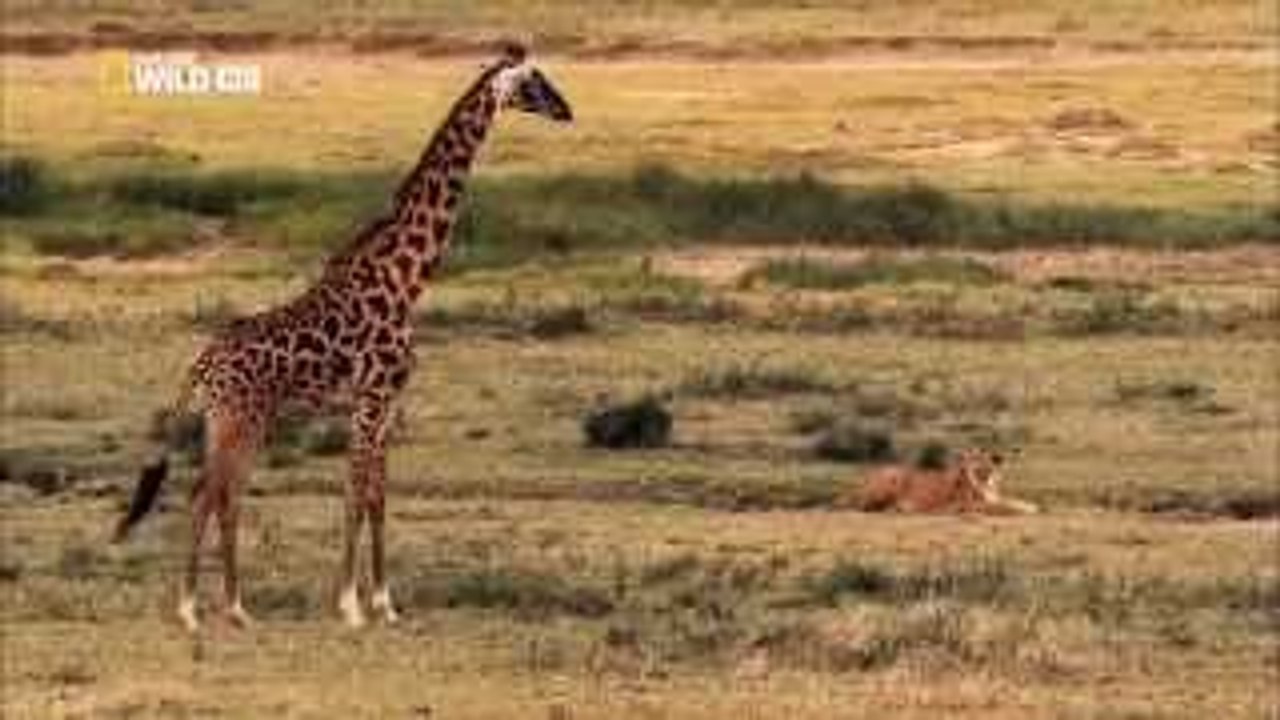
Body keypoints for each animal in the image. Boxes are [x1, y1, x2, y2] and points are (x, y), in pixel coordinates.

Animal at [112, 43, 573, 631]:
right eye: (534, 81)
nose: (567, 110)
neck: (407, 277)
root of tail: (200, 365)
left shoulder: (387, 401)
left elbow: (377, 497)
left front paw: (386, 604)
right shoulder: (371, 398)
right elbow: (355, 493)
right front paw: (351, 605)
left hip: (234, 422)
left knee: (220, 495)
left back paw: (235, 608)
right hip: (238, 420)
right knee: (208, 495)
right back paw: (194, 609)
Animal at [840, 448, 1040, 515]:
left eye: (987, 466)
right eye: (975, 465)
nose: (982, 475)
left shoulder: (993, 498)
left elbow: (1015, 501)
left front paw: (1032, 506)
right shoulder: (970, 506)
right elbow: (1005, 507)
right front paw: (1028, 510)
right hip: (892, 480)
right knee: (861, 508)